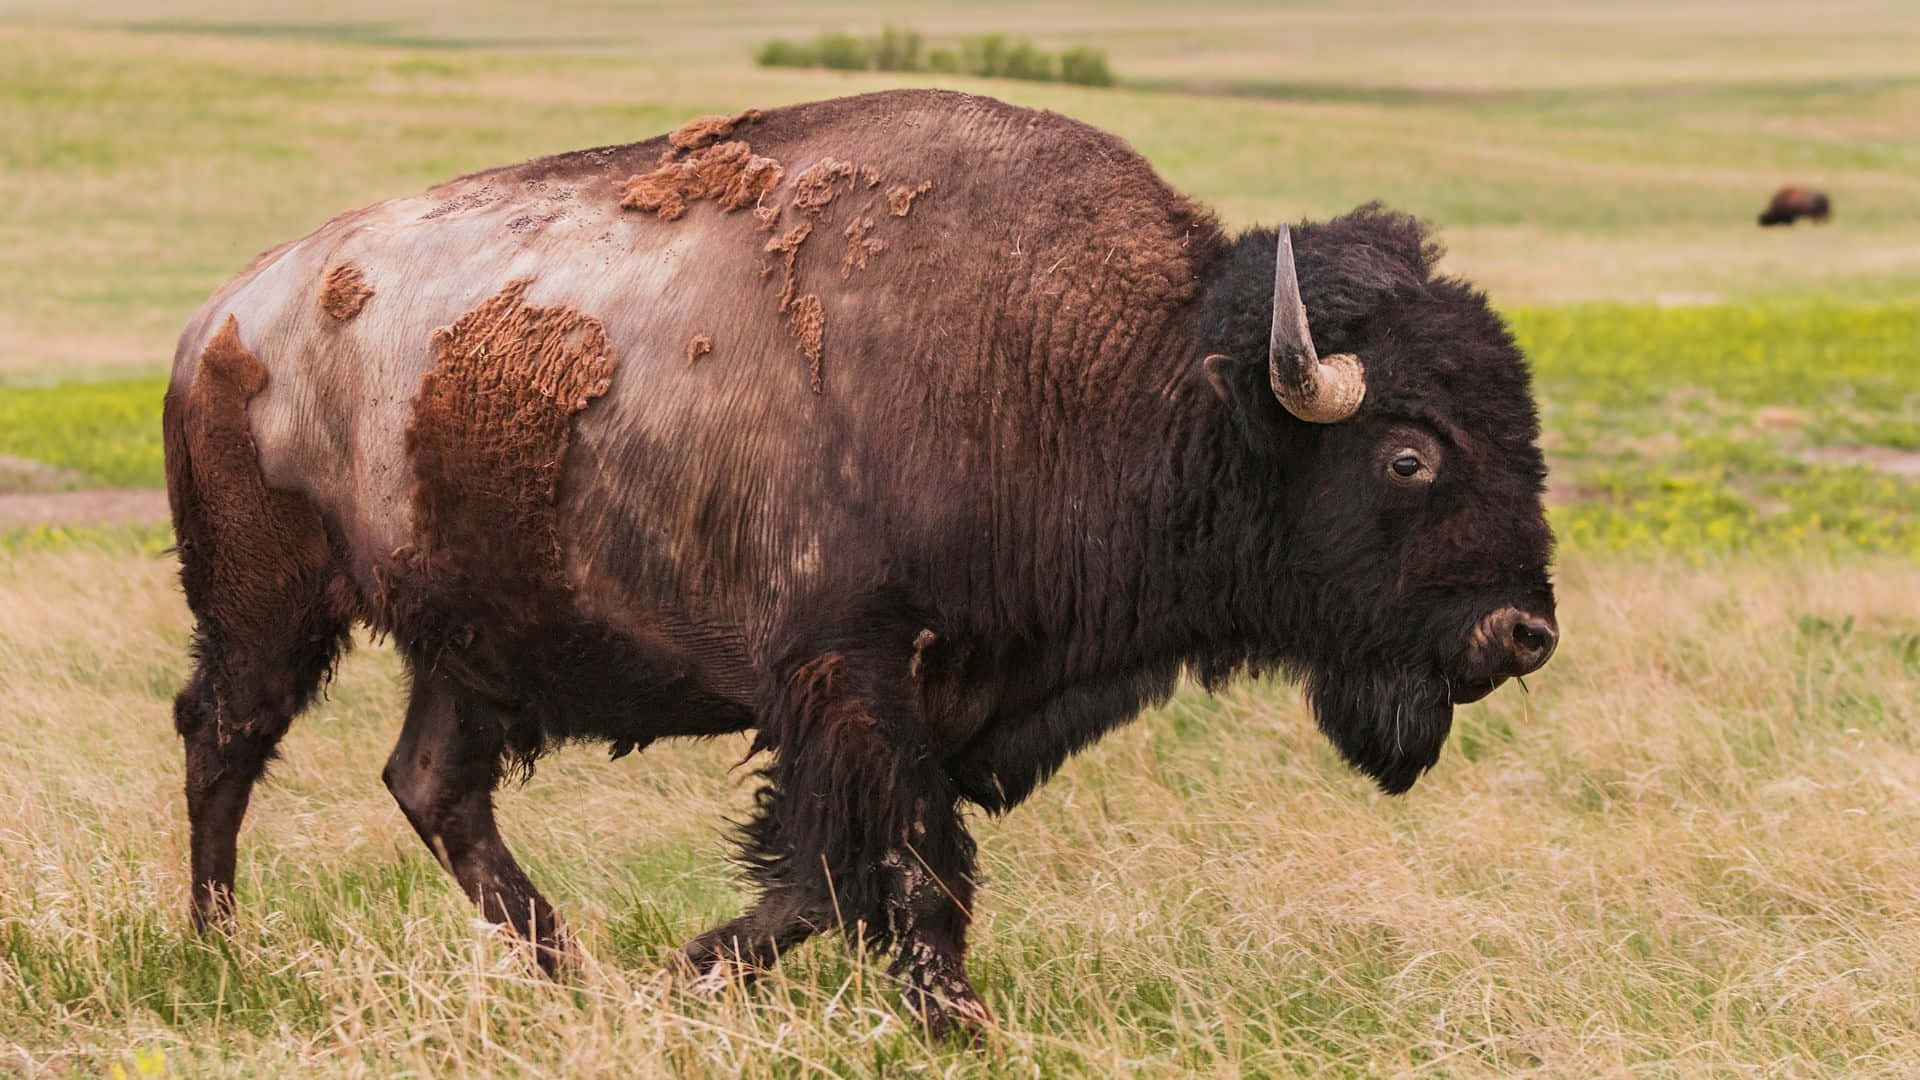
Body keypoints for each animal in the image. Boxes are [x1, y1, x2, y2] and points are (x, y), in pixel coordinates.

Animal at [163, 89, 1558, 1037]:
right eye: (1410, 457)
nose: (1524, 634)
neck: (1116, 370)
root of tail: (224, 314)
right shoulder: (850, 674)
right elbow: (908, 866)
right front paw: (960, 1025)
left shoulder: (939, 698)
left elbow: (823, 877)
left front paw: (681, 980)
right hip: (268, 601)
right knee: (226, 737)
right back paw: (220, 950)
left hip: (475, 646)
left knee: (433, 784)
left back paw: (571, 976)